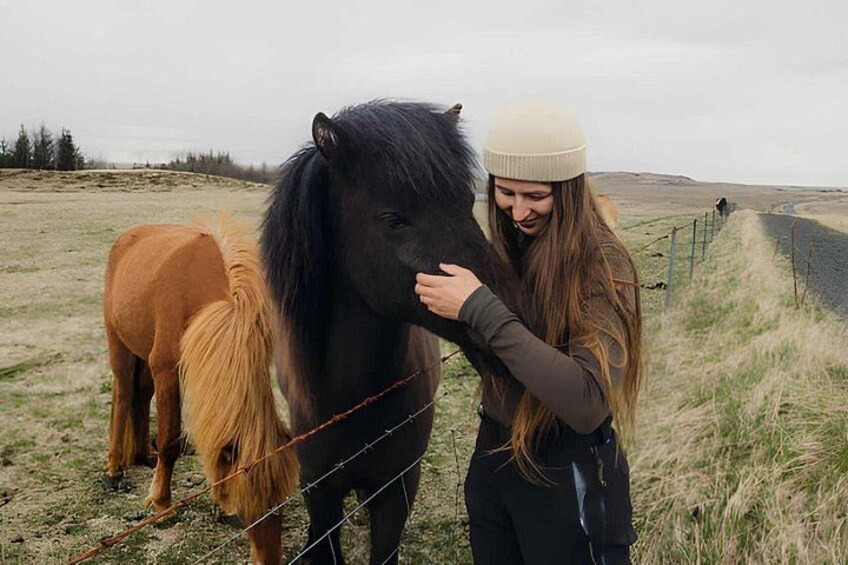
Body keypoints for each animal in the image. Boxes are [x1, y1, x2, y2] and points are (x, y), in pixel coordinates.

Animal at [103, 216, 299, 564]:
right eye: (252, 500)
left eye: (281, 499)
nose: (270, 559)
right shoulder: (166, 370)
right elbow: (169, 441)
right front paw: (162, 505)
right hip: (119, 342)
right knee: (124, 394)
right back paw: (114, 470)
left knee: (140, 395)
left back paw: (143, 455)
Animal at [261, 100, 520, 564]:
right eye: (393, 219)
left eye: (465, 203)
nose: (518, 321)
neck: (352, 401)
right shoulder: (319, 492)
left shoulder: (398, 489)